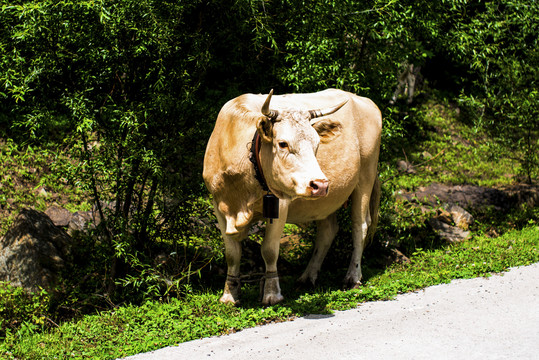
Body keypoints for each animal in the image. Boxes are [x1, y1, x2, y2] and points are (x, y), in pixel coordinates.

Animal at [204, 88, 384, 306]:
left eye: (317, 144)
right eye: (283, 144)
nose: (320, 184)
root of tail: (363, 100)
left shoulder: (279, 204)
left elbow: (269, 250)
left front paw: (272, 293)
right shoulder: (219, 204)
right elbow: (232, 253)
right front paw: (230, 294)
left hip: (365, 177)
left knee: (360, 226)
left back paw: (352, 277)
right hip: (325, 201)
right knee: (328, 230)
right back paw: (308, 277)